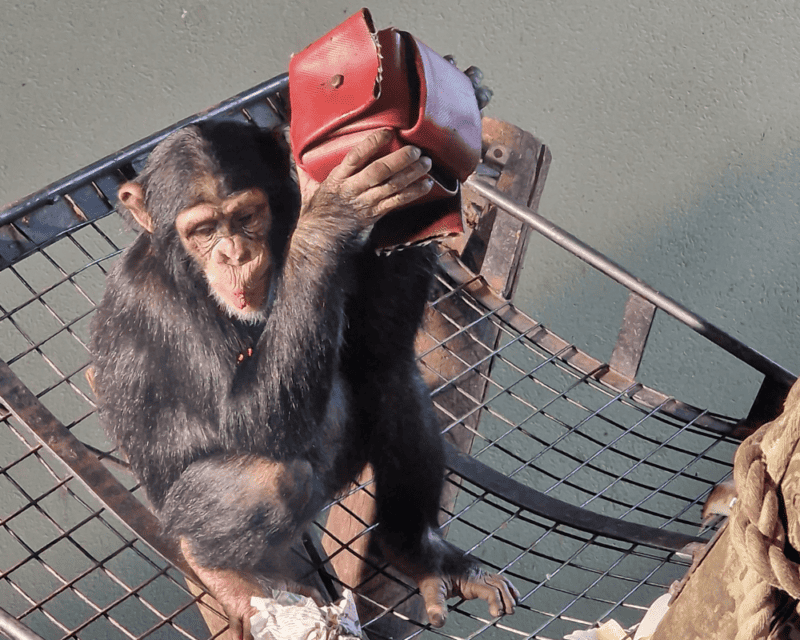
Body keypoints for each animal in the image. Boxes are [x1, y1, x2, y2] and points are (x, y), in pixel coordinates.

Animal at [90, 120, 519, 639]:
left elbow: (376, 342)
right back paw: (222, 571)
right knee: (273, 476)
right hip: (191, 517)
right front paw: (333, 213)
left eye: (246, 216)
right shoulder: (157, 306)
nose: (234, 254)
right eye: (204, 231)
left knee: (390, 375)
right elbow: (250, 421)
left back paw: (417, 552)